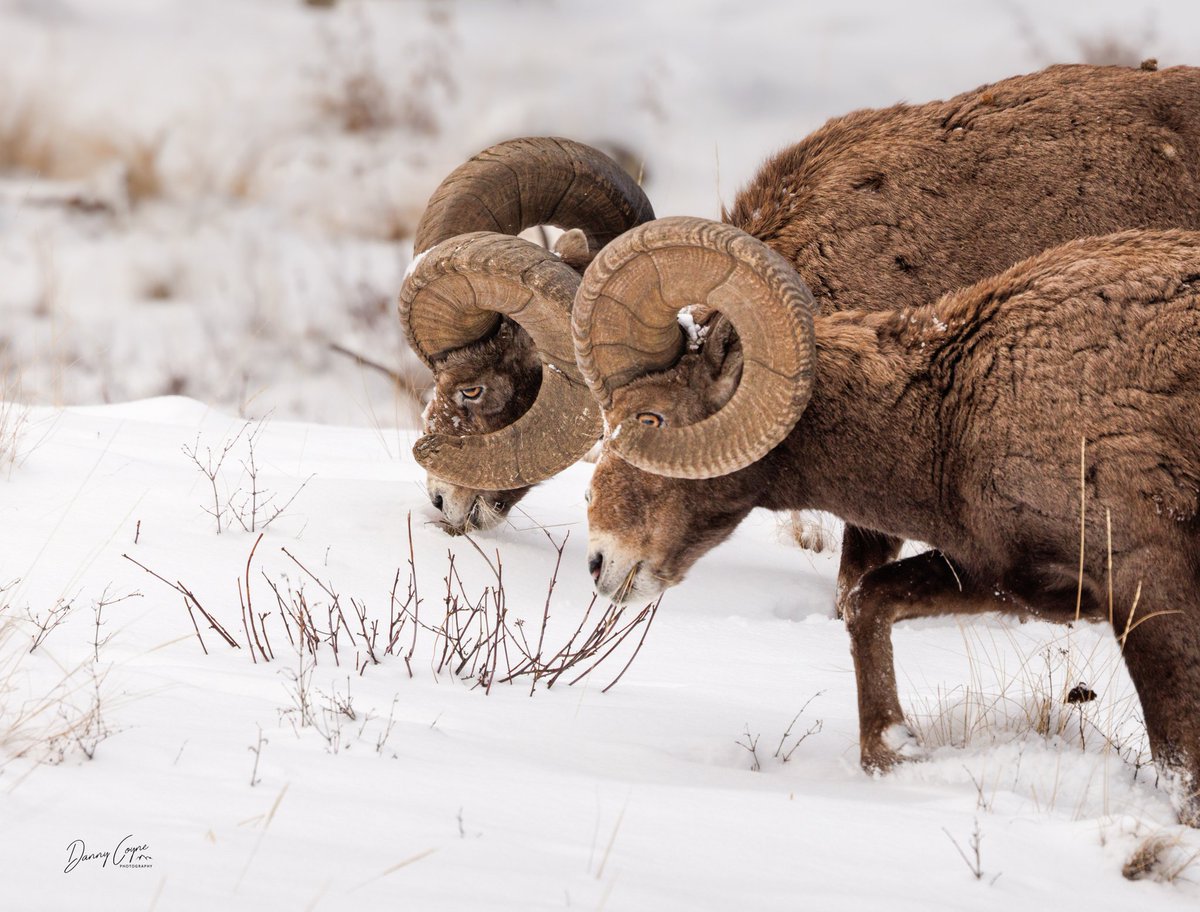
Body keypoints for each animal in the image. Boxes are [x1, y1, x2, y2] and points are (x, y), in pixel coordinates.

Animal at [571, 216, 1200, 824]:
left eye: (649, 418)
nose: (600, 564)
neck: (952, 416)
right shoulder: (1007, 577)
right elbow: (867, 602)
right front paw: (894, 751)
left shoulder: (1148, 591)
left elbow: (1180, 770)